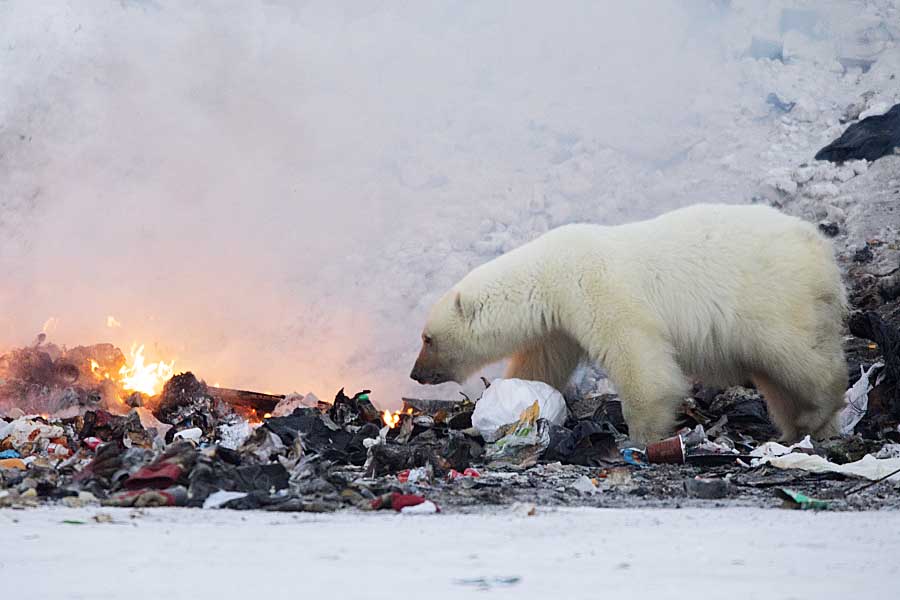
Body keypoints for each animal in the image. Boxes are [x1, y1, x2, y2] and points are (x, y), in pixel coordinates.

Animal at [412, 204, 848, 442]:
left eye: (427, 338)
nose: (416, 373)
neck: (550, 272)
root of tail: (820, 247)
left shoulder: (598, 290)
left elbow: (639, 359)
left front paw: (641, 435)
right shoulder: (560, 323)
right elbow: (540, 364)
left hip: (771, 295)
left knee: (796, 354)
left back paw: (816, 412)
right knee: (778, 376)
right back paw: (800, 428)